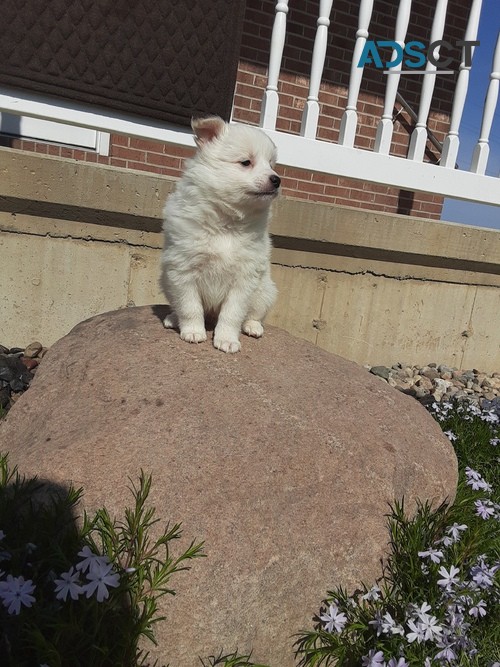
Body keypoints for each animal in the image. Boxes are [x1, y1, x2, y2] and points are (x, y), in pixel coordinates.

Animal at [160, 115, 280, 354]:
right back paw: (173, 318)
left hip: (265, 291)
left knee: (255, 314)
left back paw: (253, 327)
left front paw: (226, 340)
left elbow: (232, 314)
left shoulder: (245, 278)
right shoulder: (182, 269)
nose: (276, 179)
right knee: (178, 305)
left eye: (271, 164)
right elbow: (190, 306)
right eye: (246, 162)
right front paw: (193, 332)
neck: (226, 223)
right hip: (166, 282)